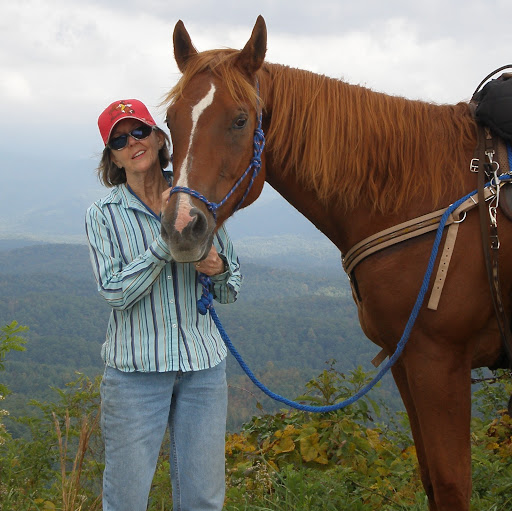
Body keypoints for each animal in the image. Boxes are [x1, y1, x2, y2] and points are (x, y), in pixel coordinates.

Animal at [161, 16, 512, 511]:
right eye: (170, 121)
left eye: (240, 120)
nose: (180, 227)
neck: (415, 192)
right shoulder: (405, 360)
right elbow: (430, 479)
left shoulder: (439, 361)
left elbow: (451, 484)